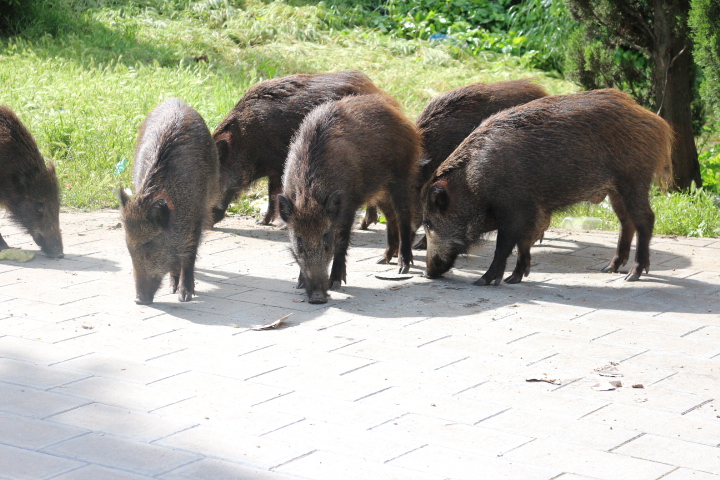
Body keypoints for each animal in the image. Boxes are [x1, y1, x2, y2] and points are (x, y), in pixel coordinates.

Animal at [119, 98, 218, 304]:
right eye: (128, 249)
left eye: (149, 245)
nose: (138, 300)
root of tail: (174, 100)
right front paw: (173, 288)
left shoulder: (197, 217)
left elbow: (189, 254)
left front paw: (185, 295)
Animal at [212, 70, 385, 226]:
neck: (246, 142)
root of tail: (375, 90)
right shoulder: (274, 171)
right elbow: (273, 194)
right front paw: (262, 222)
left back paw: (364, 224)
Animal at [279, 93, 421, 304]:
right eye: (299, 240)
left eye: (326, 237)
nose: (318, 297)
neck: (311, 197)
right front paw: (300, 283)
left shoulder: (348, 206)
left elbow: (342, 241)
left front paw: (336, 283)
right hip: (378, 190)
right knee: (391, 217)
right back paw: (383, 259)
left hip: (401, 177)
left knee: (403, 216)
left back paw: (403, 267)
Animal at [422, 89, 673, 285]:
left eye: (429, 223)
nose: (427, 273)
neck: (473, 183)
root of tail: (657, 122)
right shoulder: (532, 212)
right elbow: (523, 243)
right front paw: (515, 278)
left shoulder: (514, 209)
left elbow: (504, 246)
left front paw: (484, 281)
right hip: (616, 189)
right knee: (626, 222)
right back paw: (609, 269)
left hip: (634, 179)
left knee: (645, 219)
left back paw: (633, 275)